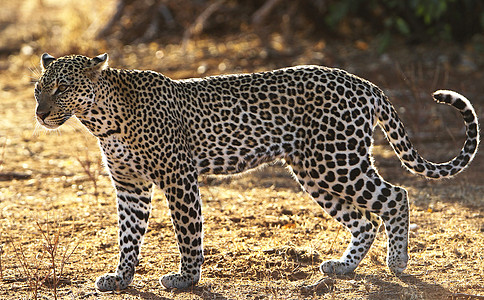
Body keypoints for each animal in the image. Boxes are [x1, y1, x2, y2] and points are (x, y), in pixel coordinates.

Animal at [35, 52, 480, 290]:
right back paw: (343, 267)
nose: (40, 113)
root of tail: (363, 83)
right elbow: (128, 236)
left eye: (61, 88)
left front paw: (186, 279)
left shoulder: (179, 177)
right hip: (314, 170)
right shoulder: (130, 185)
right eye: (39, 89)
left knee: (395, 197)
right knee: (364, 220)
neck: (101, 119)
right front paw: (121, 278)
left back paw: (398, 262)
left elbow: (188, 233)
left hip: (337, 161)